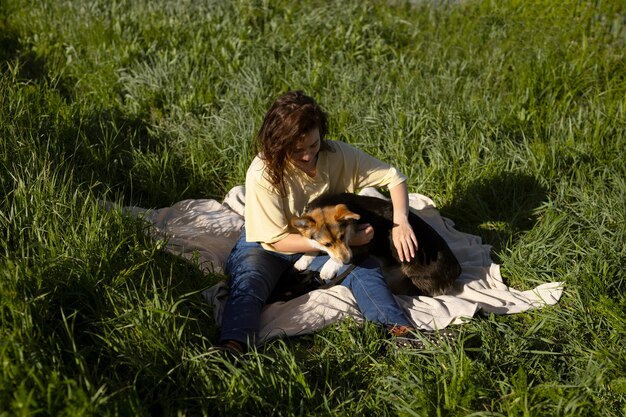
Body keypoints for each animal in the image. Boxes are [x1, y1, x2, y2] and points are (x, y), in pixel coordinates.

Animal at [290, 192, 460, 296]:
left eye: (342, 236)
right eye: (326, 244)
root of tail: (457, 270)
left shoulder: (363, 244)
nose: (347, 261)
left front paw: (328, 267)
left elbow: (344, 254)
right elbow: (312, 245)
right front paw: (303, 259)